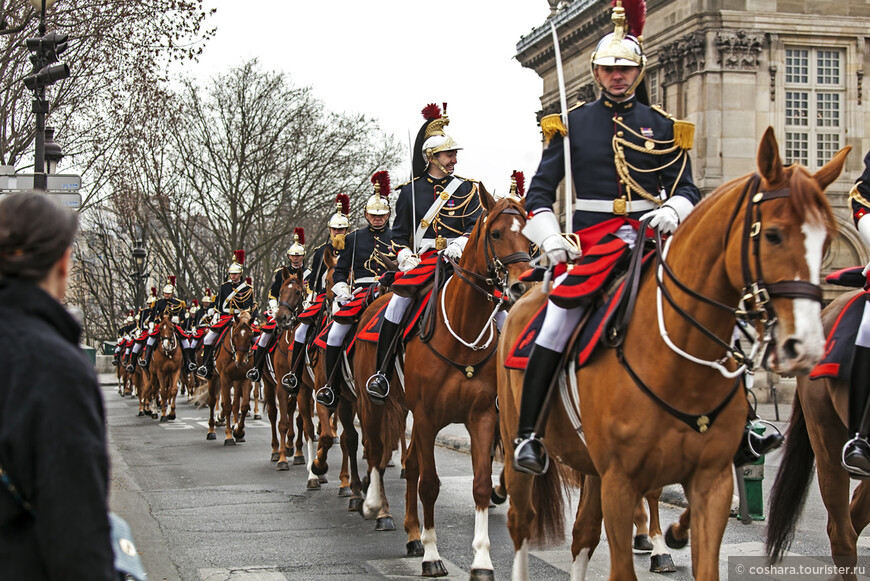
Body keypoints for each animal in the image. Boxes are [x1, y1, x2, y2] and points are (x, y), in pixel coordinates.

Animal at [206, 312, 258, 444]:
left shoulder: (245, 378)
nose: (240, 361)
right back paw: (211, 431)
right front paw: (229, 436)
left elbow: (243, 405)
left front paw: (239, 432)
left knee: (234, 402)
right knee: (212, 401)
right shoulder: (225, 378)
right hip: (214, 378)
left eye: (250, 336)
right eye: (235, 335)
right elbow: (227, 406)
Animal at [354, 186, 532, 576]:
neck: (462, 332)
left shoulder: (482, 417)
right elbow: (430, 485)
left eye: (529, 235)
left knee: (409, 465)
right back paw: (376, 507)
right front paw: (433, 556)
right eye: (497, 233)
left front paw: (482, 561)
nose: (523, 285)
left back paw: (412, 534)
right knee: (374, 452)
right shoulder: (426, 418)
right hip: (372, 404)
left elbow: (479, 486)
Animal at [498, 128, 852, 580]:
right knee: (521, 522)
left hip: (592, 466)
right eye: (772, 234)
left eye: (824, 241)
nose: (805, 346)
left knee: (582, 535)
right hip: (520, 444)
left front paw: (670, 541)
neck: (680, 364)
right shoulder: (621, 482)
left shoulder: (710, 482)